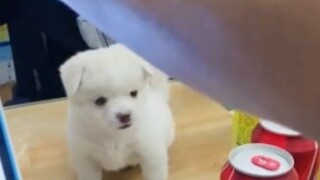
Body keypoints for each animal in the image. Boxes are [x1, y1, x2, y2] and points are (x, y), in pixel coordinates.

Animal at [60, 44, 175, 180]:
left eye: (134, 93)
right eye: (100, 100)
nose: (125, 115)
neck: (114, 135)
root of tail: (157, 93)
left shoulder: (151, 154)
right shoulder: (86, 159)